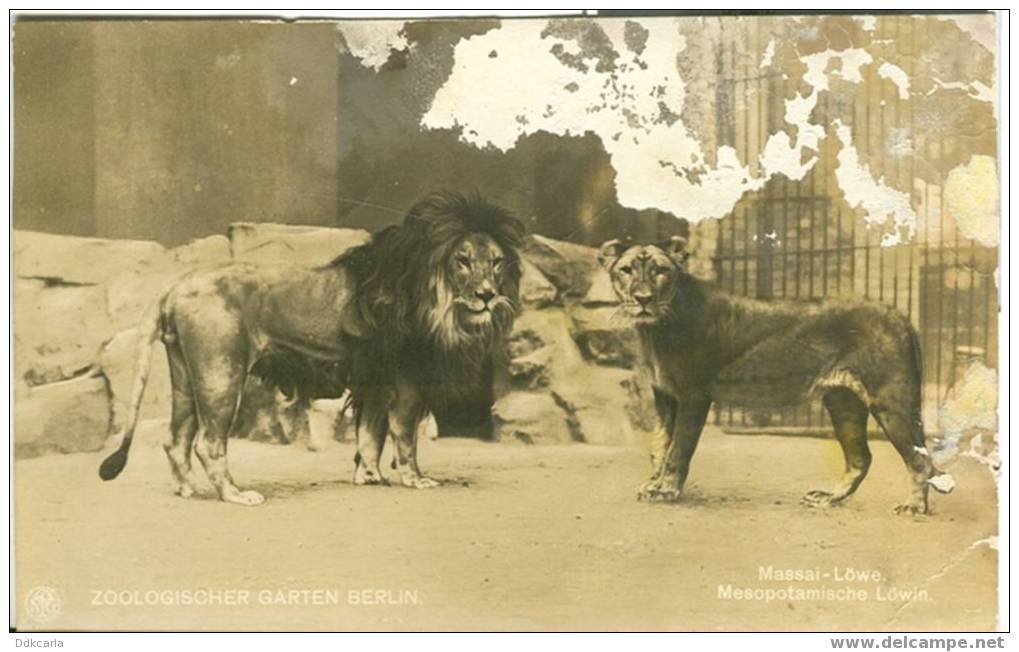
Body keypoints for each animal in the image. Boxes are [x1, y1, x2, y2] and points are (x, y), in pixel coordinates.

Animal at [100, 191, 525, 507]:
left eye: (497, 262)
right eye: (462, 261)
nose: (487, 295)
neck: (433, 297)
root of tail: (176, 285)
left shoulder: (374, 381)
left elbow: (370, 436)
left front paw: (370, 477)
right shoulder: (406, 384)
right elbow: (404, 437)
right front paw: (415, 479)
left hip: (188, 375)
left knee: (176, 439)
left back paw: (189, 490)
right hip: (221, 373)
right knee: (208, 443)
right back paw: (235, 494)